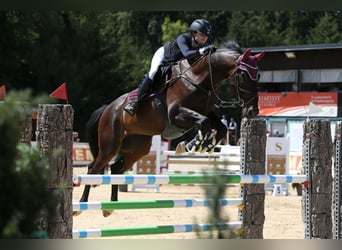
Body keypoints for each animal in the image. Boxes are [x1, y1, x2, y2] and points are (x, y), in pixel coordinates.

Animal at [75, 39, 266, 217]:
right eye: (243, 75)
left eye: (258, 77)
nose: (253, 111)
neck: (199, 78)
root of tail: (108, 108)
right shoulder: (176, 114)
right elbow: (204, 123)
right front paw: (191, 146)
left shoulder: (208, 112)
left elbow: (218, 128)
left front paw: (203, 146)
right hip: (110, 144)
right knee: (93, 168)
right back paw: (81, 204)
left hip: (138, 147)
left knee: (115, 168)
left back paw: (110, 206)